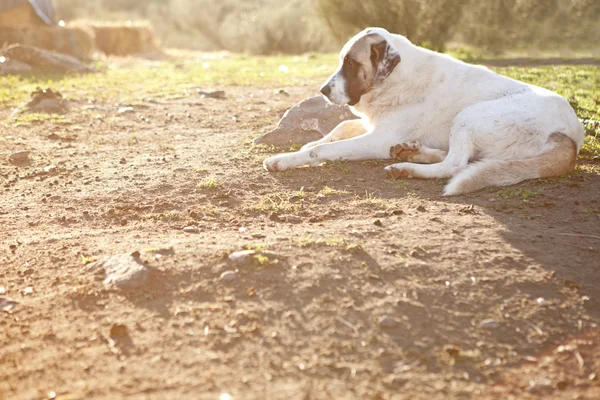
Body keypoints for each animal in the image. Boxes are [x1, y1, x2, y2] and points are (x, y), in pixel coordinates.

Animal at [262, 26, 580, 195]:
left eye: (351, 63)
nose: (323, 91)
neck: (396, 78)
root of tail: (571, 138)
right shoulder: (375, 127)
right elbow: (338, 128)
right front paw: (309, 142)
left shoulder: (378, 140)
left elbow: (323, 150)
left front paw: (285, 159)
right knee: (457, 158)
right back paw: (412, 153)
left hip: (469, 116)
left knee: (454, 165)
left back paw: (406, 167)